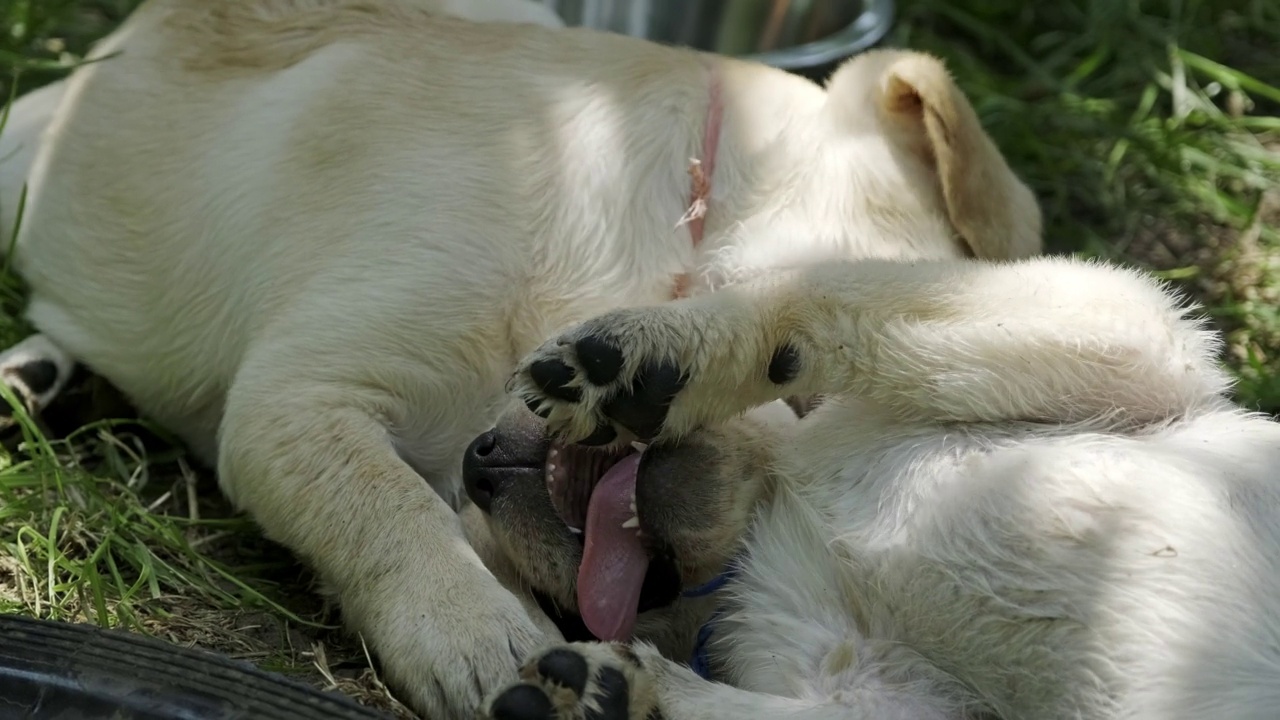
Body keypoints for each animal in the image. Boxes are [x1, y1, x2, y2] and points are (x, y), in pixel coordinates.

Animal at [465, 254, 1280, 712]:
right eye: (552, 608)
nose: (474, 461)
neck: (770, 512)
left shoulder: (1141, 344)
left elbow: (827, 288)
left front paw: (645, 357)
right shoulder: (886, 689)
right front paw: (602, 692)